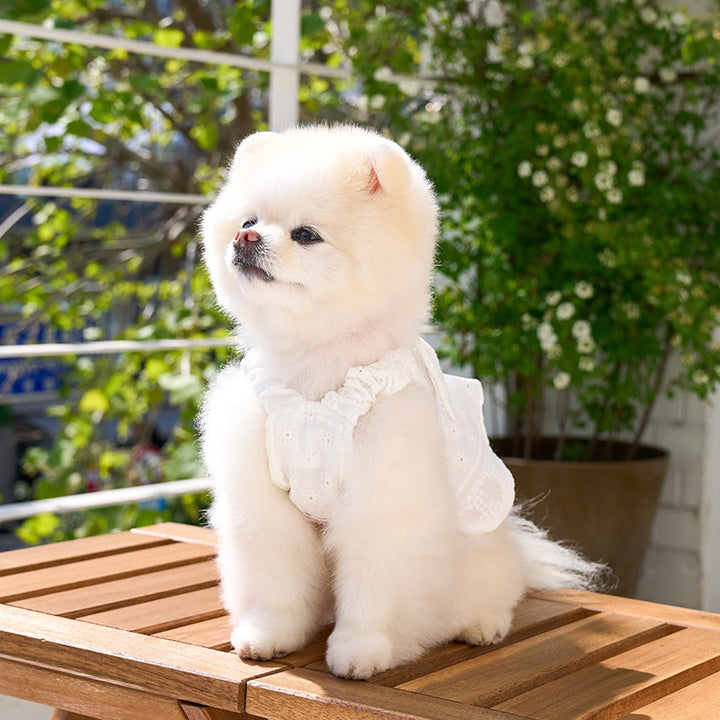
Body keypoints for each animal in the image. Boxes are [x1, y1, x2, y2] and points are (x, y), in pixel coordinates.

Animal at [199, 124, 600, 679]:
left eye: (306, 235)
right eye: (247, 221)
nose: (246, 239)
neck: (318, 368)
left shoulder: (383, 497)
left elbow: (375, 586)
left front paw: (361, 650)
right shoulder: (263, 498)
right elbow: (275, 576)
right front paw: (269, 634)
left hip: (475, 554)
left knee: (496, 590)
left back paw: (484, 625)